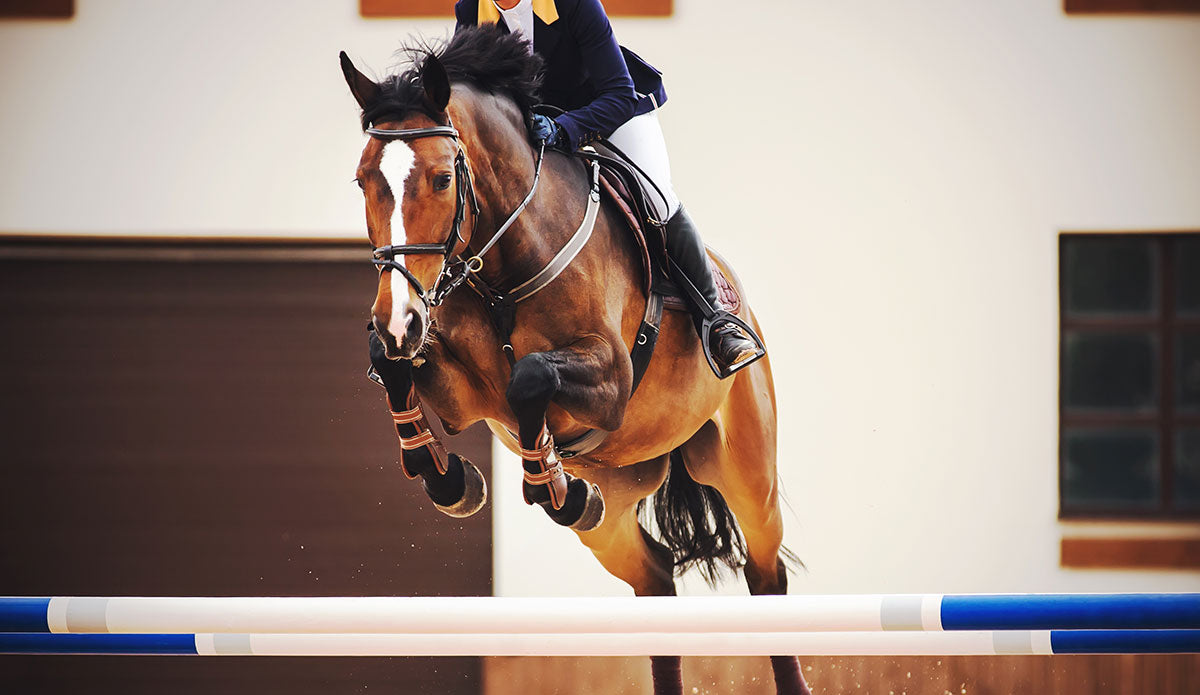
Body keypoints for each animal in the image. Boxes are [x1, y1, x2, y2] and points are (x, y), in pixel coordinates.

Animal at [339, 25, 809, 695]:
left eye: (441, 180)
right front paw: (450, 479)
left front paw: (547, 483)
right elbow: (397, 366)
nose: (399, 317)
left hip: (746, 468)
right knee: (653, 577)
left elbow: (530, 376)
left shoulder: (610, 378)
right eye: (362, 181)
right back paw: (579, 499)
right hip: (615, 505)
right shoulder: (459, 393)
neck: (500, 261)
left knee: (766, 574)